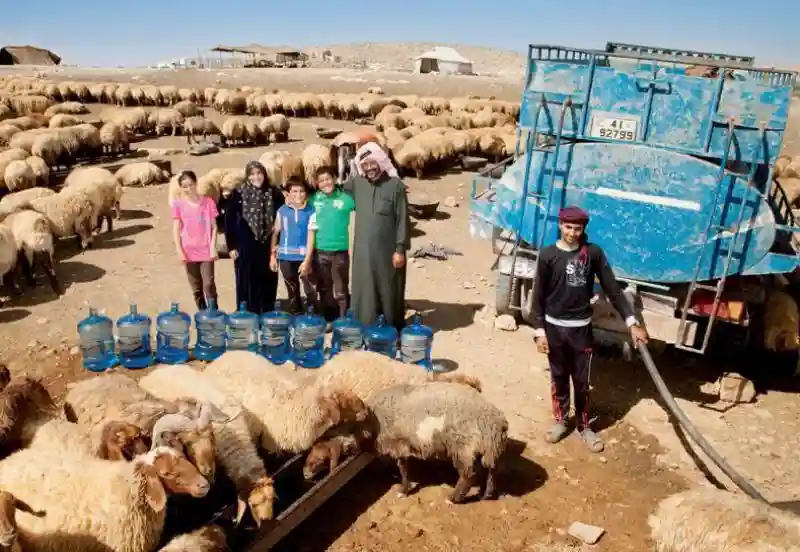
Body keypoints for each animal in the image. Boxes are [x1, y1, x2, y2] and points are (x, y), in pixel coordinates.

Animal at [310, 380, 510, 504]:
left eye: (341, 426)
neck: (374, 422)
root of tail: (497, 422)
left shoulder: (398, 443)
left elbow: (403, 467)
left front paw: (403, 489)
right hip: (489, 449)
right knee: (491, 470)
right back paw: (487, 495)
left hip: (462, 446)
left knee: (468, 475)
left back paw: (453, 498)